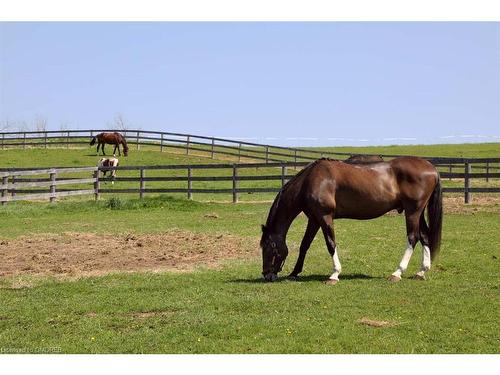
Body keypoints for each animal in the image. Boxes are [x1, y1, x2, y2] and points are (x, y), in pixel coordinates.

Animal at [260, 157, 444, 284]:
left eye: (269, 247)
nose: (267, 275)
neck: (311, 181)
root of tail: (432, 169)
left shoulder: (325, 217)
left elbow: (331, 244)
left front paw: (334, 274)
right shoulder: (314, 219)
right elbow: (304, 245)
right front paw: (294, 273)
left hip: (412, 212)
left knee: (413, 238)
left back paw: (397, 273)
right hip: (417, 212)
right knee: (424, 237)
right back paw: (421, 272)